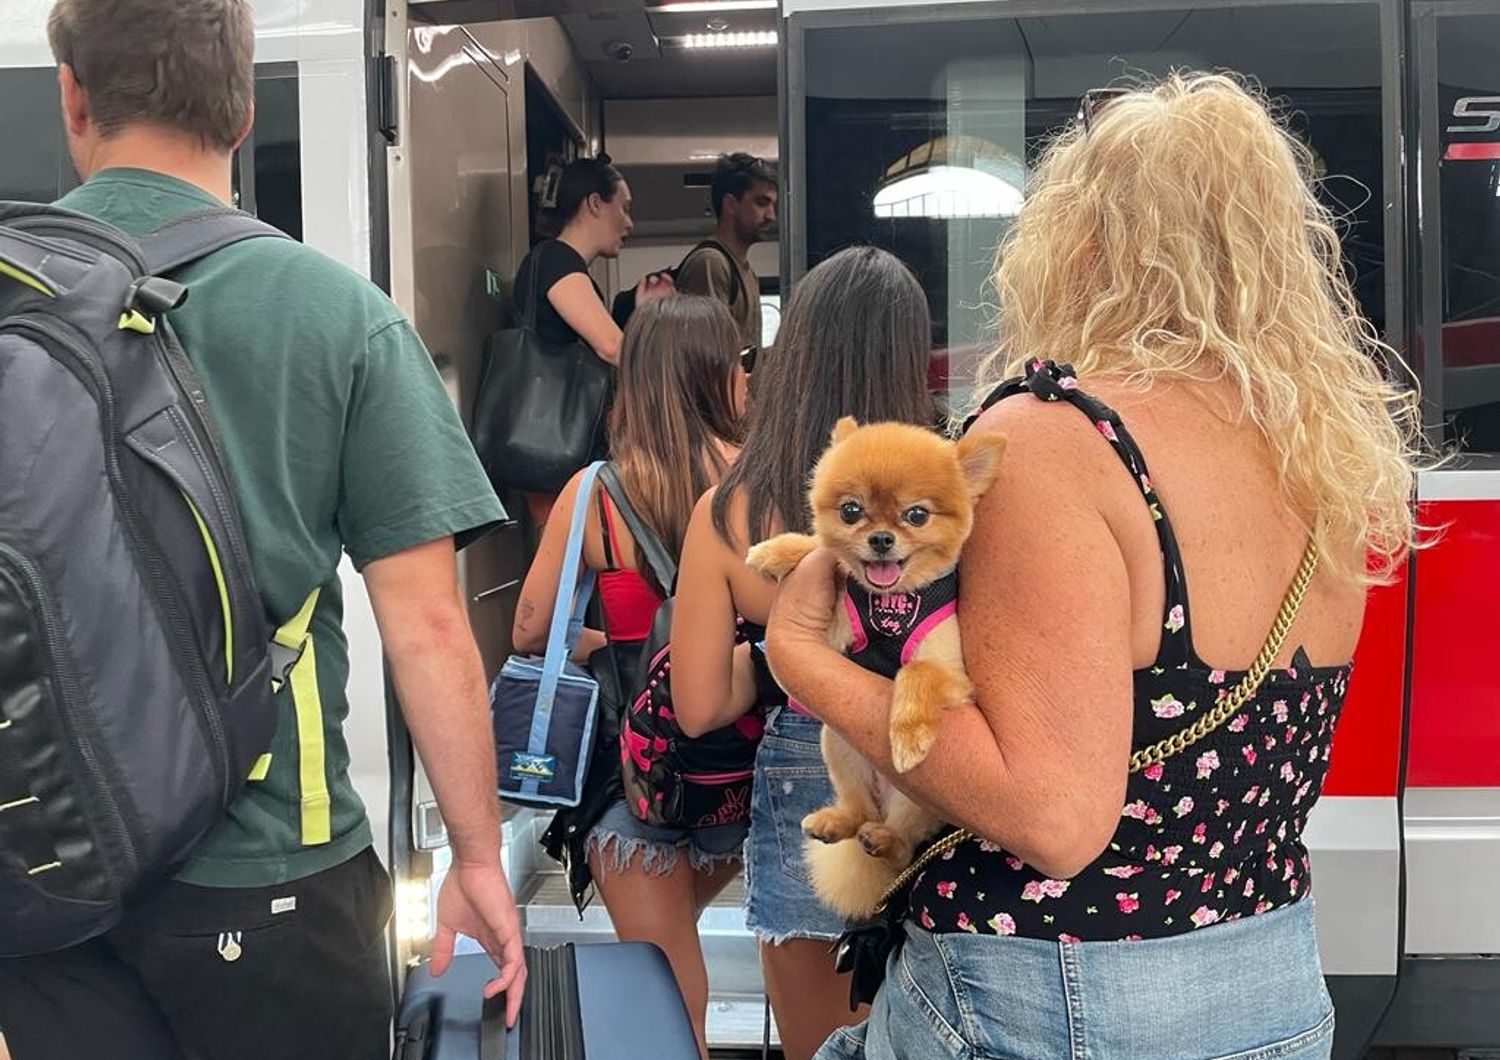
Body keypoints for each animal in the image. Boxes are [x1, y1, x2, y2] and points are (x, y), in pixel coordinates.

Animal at [750, 416, 1008, 917]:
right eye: (852, 511)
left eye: (917, 515)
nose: (882, 539)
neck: (893, 603)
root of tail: (882, 804)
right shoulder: (835, 633)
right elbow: (823, 552)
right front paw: (777, 552)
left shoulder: (953, 673)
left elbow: (916, 672)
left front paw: (907, 736)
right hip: (839, 745)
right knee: (858, 813)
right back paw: (837, 822)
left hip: (917, 801)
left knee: (903, 848)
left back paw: (886, 840)